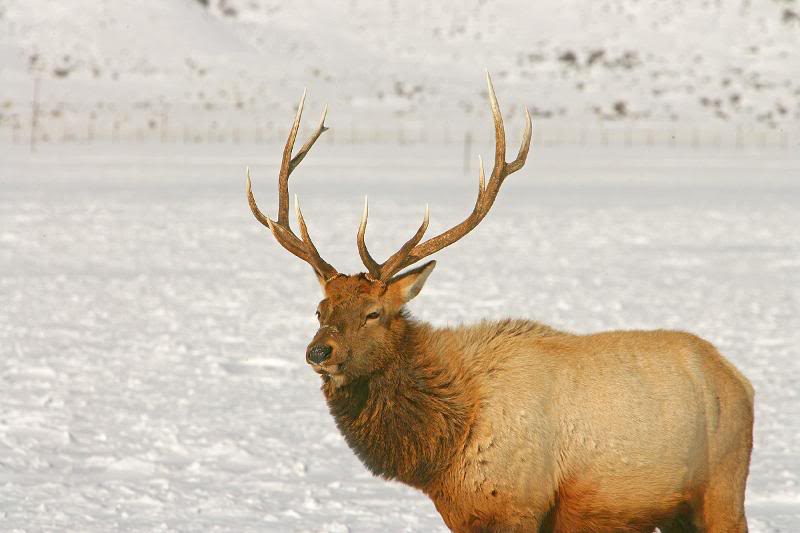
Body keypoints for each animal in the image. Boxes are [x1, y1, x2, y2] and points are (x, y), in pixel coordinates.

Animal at [245, 74, 755, 533]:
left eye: (374, 313)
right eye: (320, 309)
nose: (319, 351)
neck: (444, 448)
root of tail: (740, 380)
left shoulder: (516, 504)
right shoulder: (466, 513)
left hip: (723, 484)